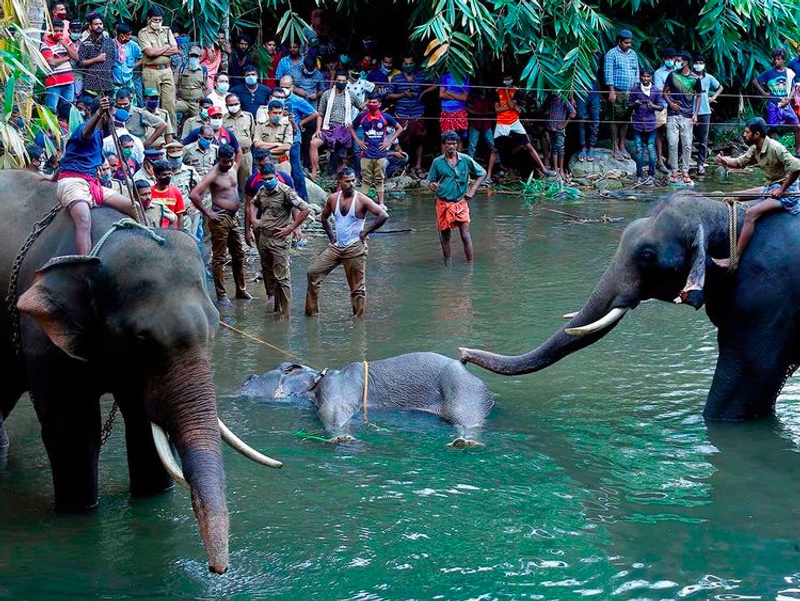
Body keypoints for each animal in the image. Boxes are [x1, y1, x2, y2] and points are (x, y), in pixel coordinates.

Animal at [0, 169, 280, 572]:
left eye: (214, 327)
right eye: (141, 338)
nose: (218, 569)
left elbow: (143, 429)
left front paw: (151, 499)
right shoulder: (40, 334)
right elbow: (73, 432)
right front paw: (79, 511)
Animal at [234, 352, 494, 446]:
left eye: (252, 377)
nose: (246, 378)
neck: (316, 380)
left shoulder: (337, 390)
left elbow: (332, 413)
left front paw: (342, 438)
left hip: (462, 391)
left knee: (467, 420)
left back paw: (465, 442)